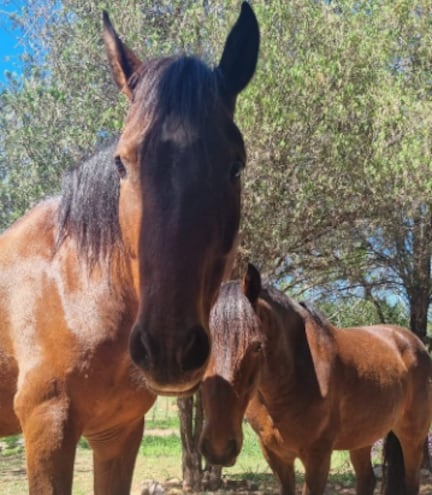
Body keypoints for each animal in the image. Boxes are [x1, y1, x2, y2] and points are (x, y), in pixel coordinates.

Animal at [0, 4, 260, 495]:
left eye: (236, 165)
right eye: (122, 163)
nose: (168, 349)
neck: (74, 286)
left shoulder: (117, 435)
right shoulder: (48, 428)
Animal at [201, 266, 432, 495]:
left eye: (257, 346)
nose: (218, 447)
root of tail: (411, 340)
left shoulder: (317, 457)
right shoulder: (275, 455)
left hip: (412, 437)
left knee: (411, 481)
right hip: (362, 438)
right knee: (367, 481)